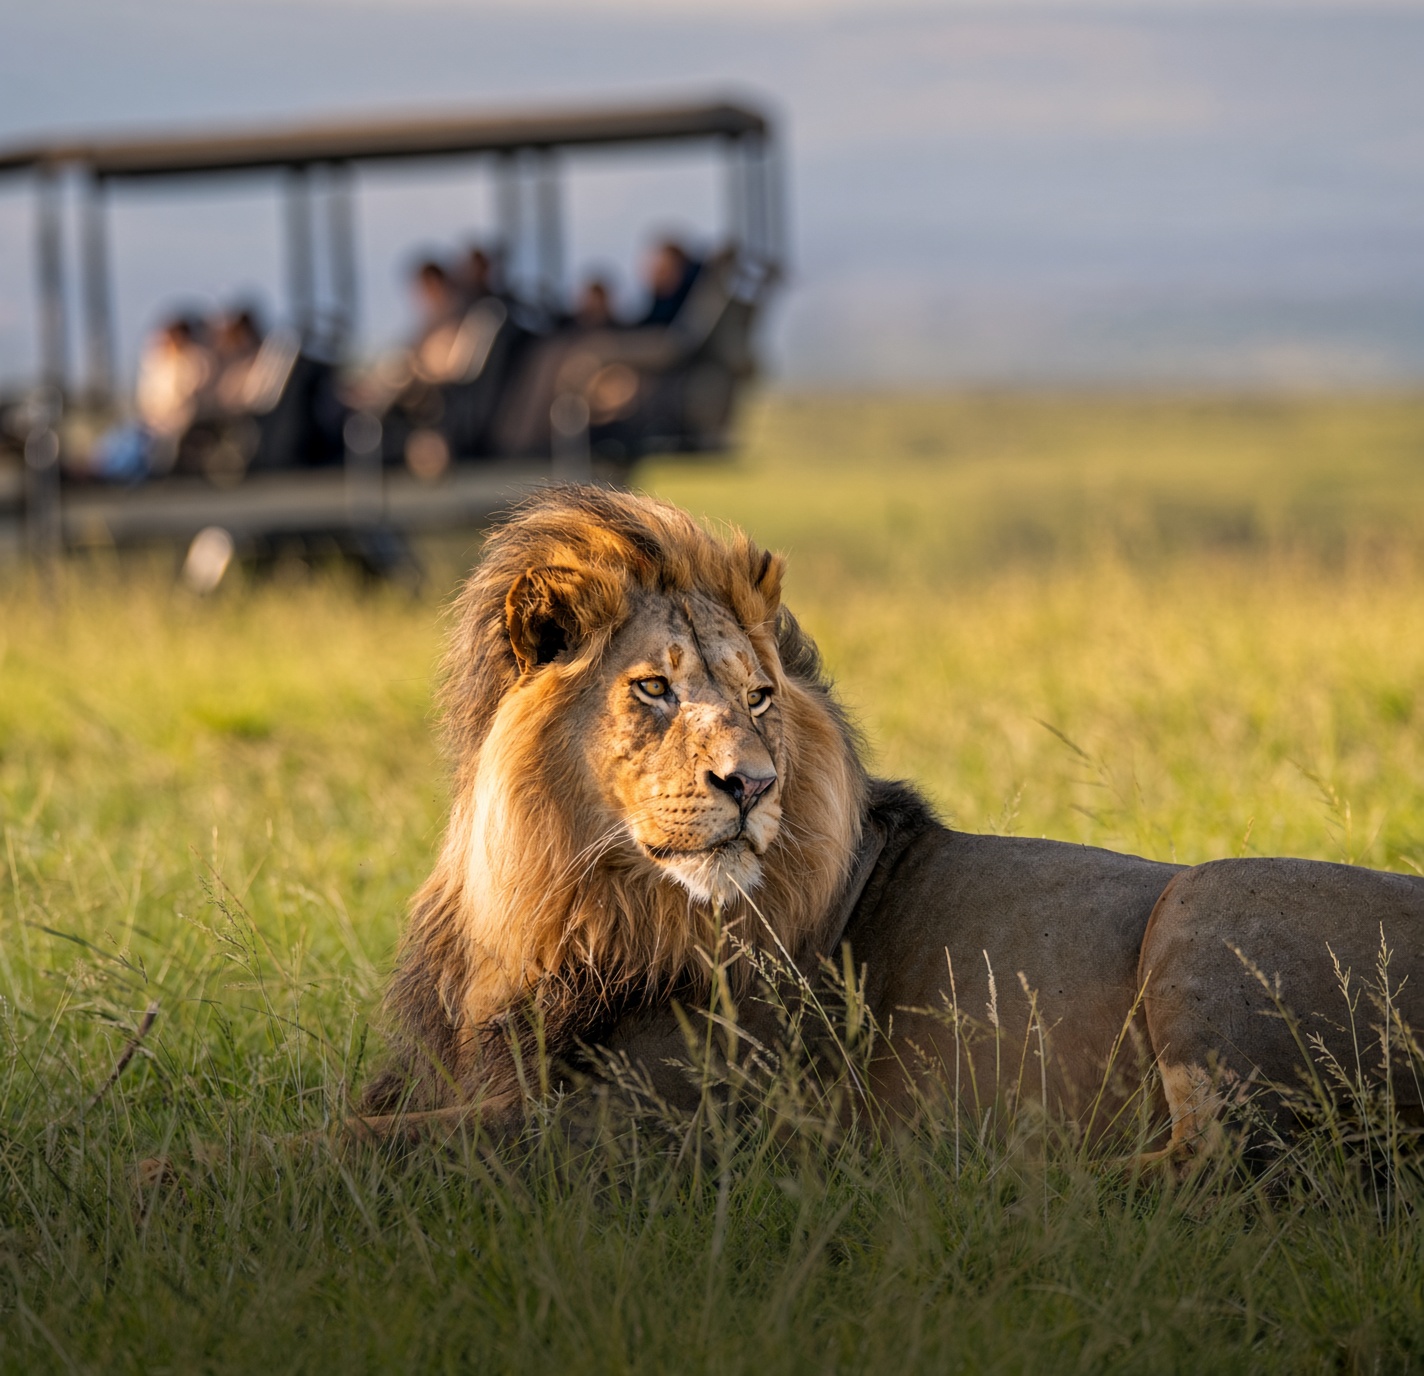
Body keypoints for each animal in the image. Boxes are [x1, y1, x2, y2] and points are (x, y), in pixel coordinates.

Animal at [357, 485, 1424, 1158]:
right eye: (653, 688)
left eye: (758, 697)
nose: (751, 786)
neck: (561, 902)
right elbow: (358, 1115)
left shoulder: (649, 1123)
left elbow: (348, 1148)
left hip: (1207, 912)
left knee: (1216, 1170)